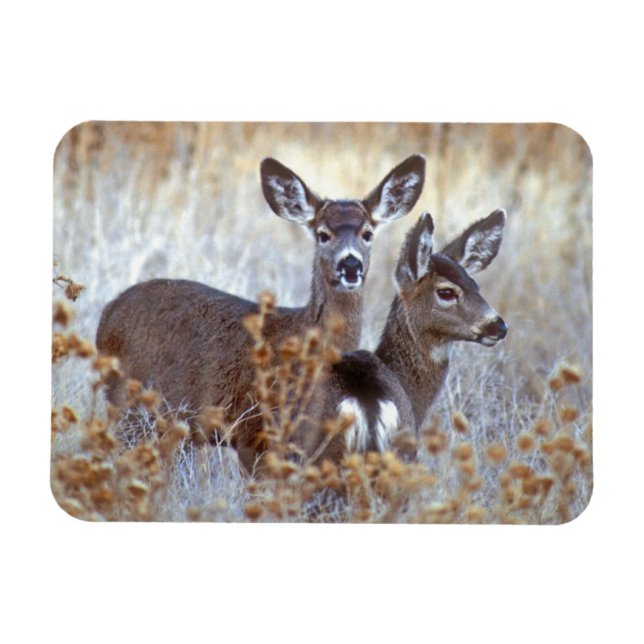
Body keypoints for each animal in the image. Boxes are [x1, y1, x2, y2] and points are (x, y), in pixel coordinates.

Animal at [95, 155, 426, 469]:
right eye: (322, 234)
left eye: (367, 233)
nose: (350, 264)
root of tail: (108, 311)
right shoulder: (253, 433)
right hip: (128, 404)